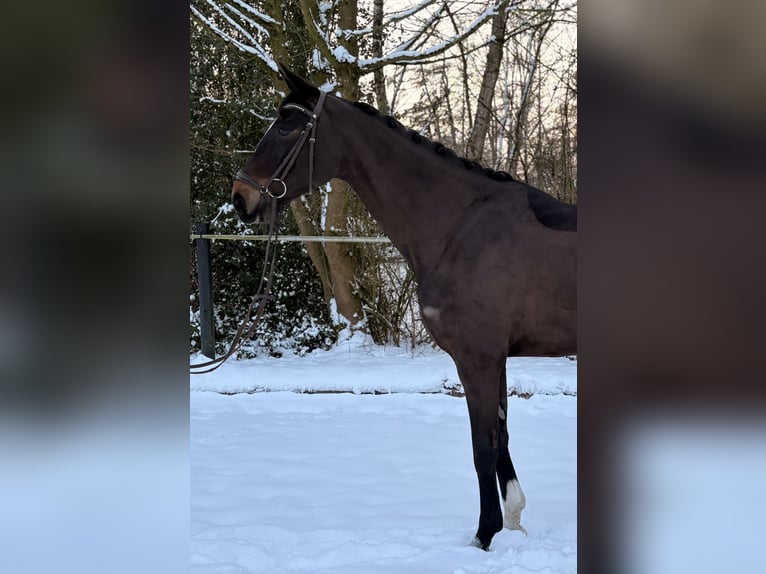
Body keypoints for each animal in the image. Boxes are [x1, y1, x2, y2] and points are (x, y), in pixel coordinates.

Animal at [231, 64, 577, 550]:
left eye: (286, 125)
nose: (241, 197)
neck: (461, 227)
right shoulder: (496, 358)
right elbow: (502, 435)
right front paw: (513, 518)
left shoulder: (477, 358)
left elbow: (483, 446)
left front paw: (484, 534)